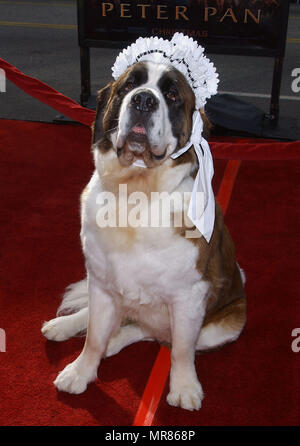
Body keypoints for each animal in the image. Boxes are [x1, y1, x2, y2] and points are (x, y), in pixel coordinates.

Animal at [42, 59, 248, 412]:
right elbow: (93, 335)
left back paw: (116, 341)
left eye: (171, 95)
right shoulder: (101, 282)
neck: (136, 192)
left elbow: (181, 350)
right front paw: (80, 372)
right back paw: (65, 326)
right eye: (128, 86)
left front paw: (184, 388)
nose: (143, 100)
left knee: (154, 334)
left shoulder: (189, 296)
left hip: (227, 324)